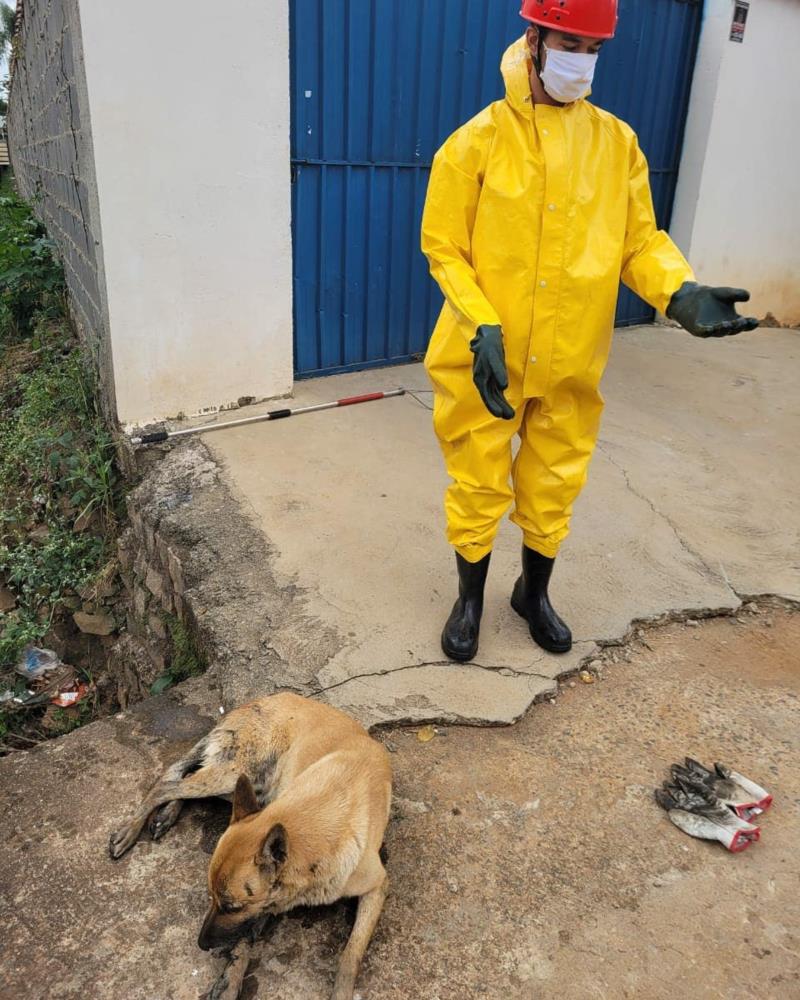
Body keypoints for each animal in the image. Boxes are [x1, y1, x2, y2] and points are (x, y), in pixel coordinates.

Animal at [108, 692, 390, 1000]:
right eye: (211, 897)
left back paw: (165, 815)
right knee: (169, 783)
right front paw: (231, 979)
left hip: (246, 787)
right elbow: (244, 940)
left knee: (182, 780)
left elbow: (351, 955)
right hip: (240, 775)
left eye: (231, 907)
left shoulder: (377, 886)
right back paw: (130, 830)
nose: (201, 945)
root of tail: (264, 699)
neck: (317, 818)